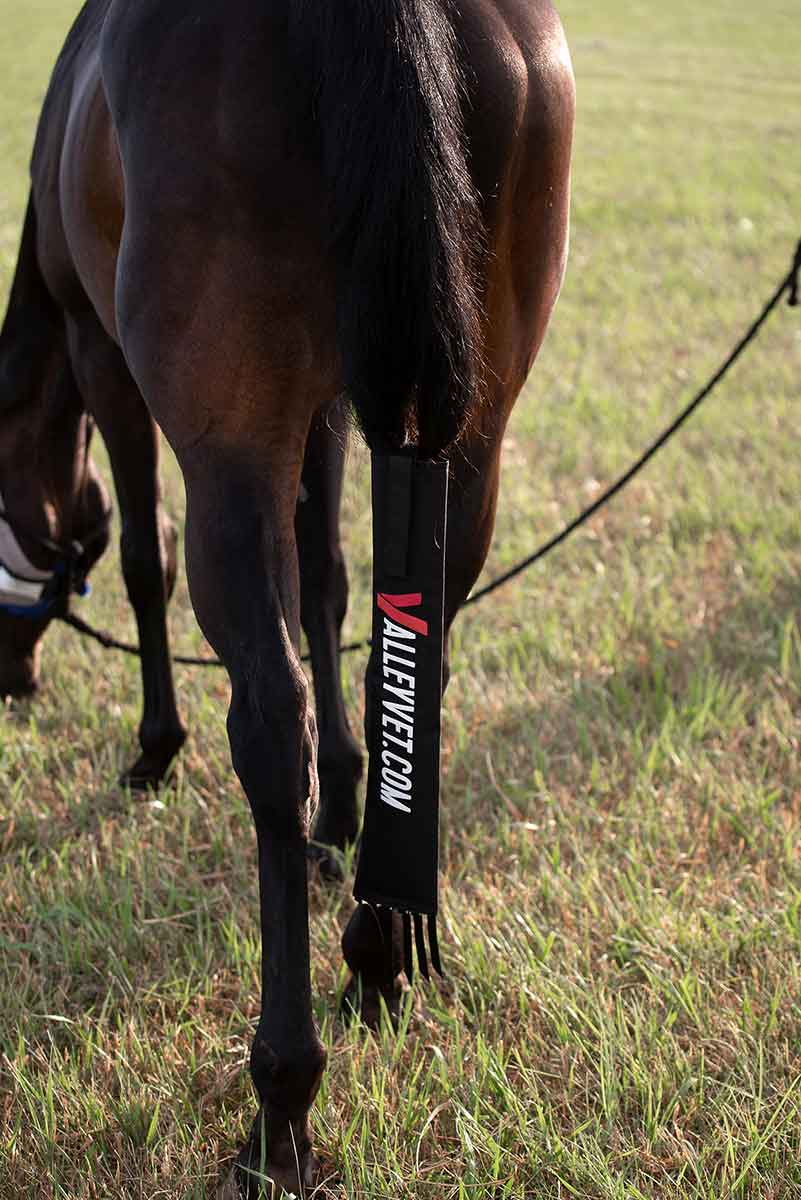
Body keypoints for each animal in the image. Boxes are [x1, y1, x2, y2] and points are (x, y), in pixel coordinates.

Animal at [0, 0, 574, 1192]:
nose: (12, 676)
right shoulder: (330, 408)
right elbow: (330, 586)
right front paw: (342, 815)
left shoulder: (105, 357)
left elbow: (145, 561)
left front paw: (156, 749)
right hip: (472, 428)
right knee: (420, 651)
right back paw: (377, 955)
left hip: (225, 445)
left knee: (269, 715)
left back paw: (282, 1100)